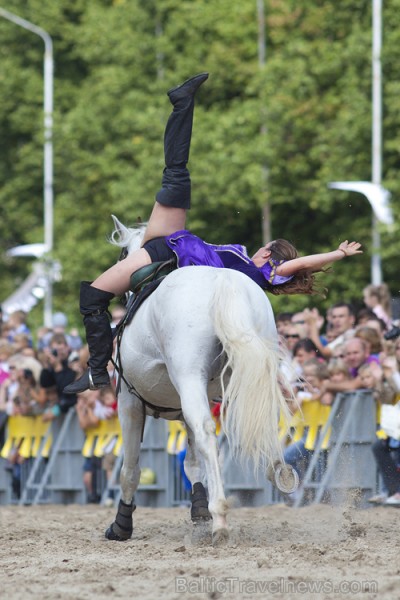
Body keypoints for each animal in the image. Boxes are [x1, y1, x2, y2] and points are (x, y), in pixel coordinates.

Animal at [106, 218, 296, 548]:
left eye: (123, 255)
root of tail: (222, 283)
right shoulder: (189, 404)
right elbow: (192, 462)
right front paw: (198, 508)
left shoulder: (129, 403)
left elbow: (130, 469)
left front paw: (122, 524)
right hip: (248, 374)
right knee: (263, 421)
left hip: (189, 378)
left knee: (208, 435)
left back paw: (220, 517)